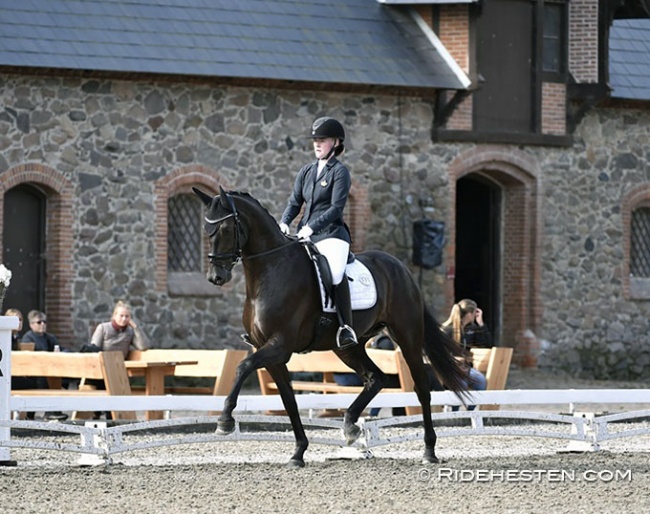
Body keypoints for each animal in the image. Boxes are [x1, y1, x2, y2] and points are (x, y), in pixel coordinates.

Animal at [191, 186, 466, 466]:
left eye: (226, 229)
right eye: (205, 229)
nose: (216, 277)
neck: (269, 272)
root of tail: (401, 268)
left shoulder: (280, 345)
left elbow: (243, 366)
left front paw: (224, 421)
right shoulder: (269, 351)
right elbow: (288, 399)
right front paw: (298, 452)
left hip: (407, 335)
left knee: (421, 387)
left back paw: (429, 450)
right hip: (347, 347)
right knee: (375, 378)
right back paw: (351, 426)